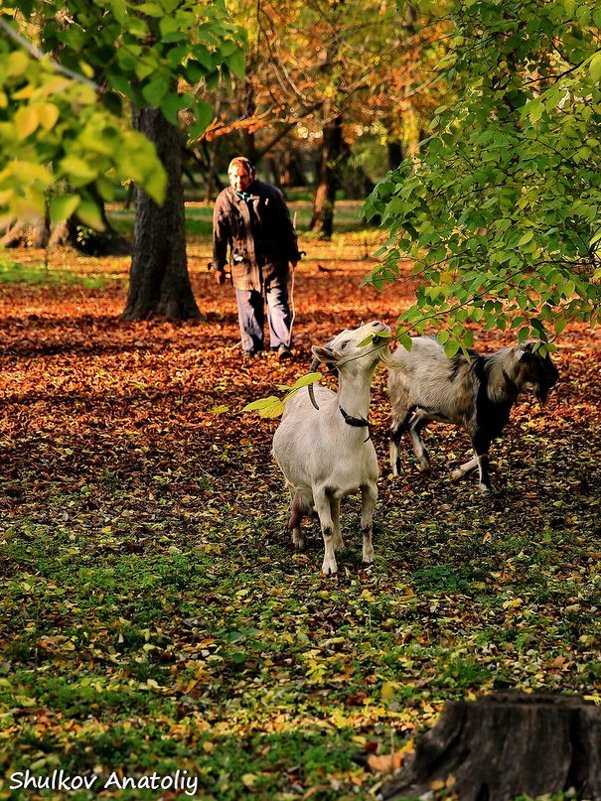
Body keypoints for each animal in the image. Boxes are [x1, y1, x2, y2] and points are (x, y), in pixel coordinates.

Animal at [270, 320, 390, 576]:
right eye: (344, 344)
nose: (378, 324)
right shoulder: (318, 487)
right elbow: (325, 526)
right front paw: (329, 566)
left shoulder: (370, 485)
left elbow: (366, 524)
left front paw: (368, 557)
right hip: (292, 481)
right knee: (295, 503)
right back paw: (298, 539)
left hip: (333, 491)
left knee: (336, 512)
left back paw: (339, 543)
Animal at [386, 334, 560, 490]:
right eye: (534, 358)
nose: (554, 377)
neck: (491, 382)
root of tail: (399, 350)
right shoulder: (475, 423)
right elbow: (482, 456)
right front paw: (486, 487)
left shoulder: (491, 425)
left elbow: (481, 454)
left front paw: (456, 473)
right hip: (402, 400)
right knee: (395, 431)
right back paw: (397, 471)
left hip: (431, 408)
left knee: (413, 425)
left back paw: (425, 463)